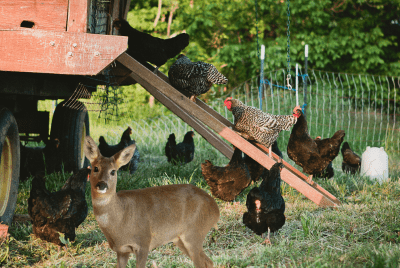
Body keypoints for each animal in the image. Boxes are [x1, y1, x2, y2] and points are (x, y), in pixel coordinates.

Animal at [84, 136, 220, 268]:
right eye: (95, 168)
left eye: (113, 171)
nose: (102, 185)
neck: (121, 217)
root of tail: (216, 210)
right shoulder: (121, 250)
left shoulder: (144, 242)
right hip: (180, 239)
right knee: (208, 261)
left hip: (194, 233)